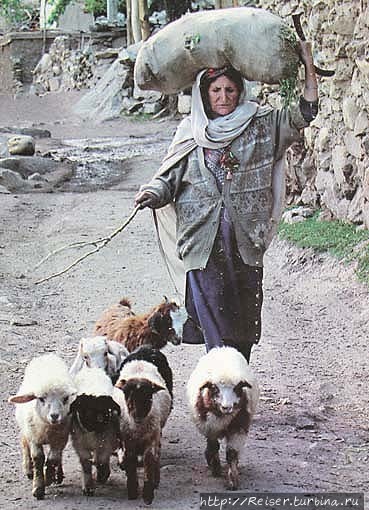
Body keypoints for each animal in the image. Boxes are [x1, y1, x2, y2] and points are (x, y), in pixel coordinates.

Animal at [7, 354, 76, 498]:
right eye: (41, 398)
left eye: (65, 398)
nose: (54, 416)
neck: (47, 428)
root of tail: (47, 356)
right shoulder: (34, 438)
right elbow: (38, 459)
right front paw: (38, 488)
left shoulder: (60, 439)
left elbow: (52, 459)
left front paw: (48, 478)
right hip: (26, 430)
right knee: (24, 444)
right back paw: (28, 469)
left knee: (58, 456)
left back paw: (58, 475)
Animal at [69, 366, 121, 494]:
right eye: (82, 409)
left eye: (103, 412)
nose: (90, 426)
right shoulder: (80, 445)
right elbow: (86, 463)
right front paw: (88, 487)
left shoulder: (105, 442)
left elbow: (100, 460)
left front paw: (102, 476)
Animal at [113, 344, 172, 504]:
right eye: (127, 393)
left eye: (148, 395)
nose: (138, 414)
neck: (138, 427)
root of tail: (146, 347)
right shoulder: (128, 441)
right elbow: (131, 461)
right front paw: (132, 490)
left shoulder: (151, 439)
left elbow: (149, 461)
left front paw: (147, 494)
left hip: (158, 430)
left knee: (158, 452)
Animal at [184, 346, 258, 490]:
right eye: (214, 388)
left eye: (238, 388)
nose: (226, 407)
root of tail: (223, 348)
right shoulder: (209, 428)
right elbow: (214, 447)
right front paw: (216, 469)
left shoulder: (238, 428)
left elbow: (232, 453)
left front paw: (232, 479)